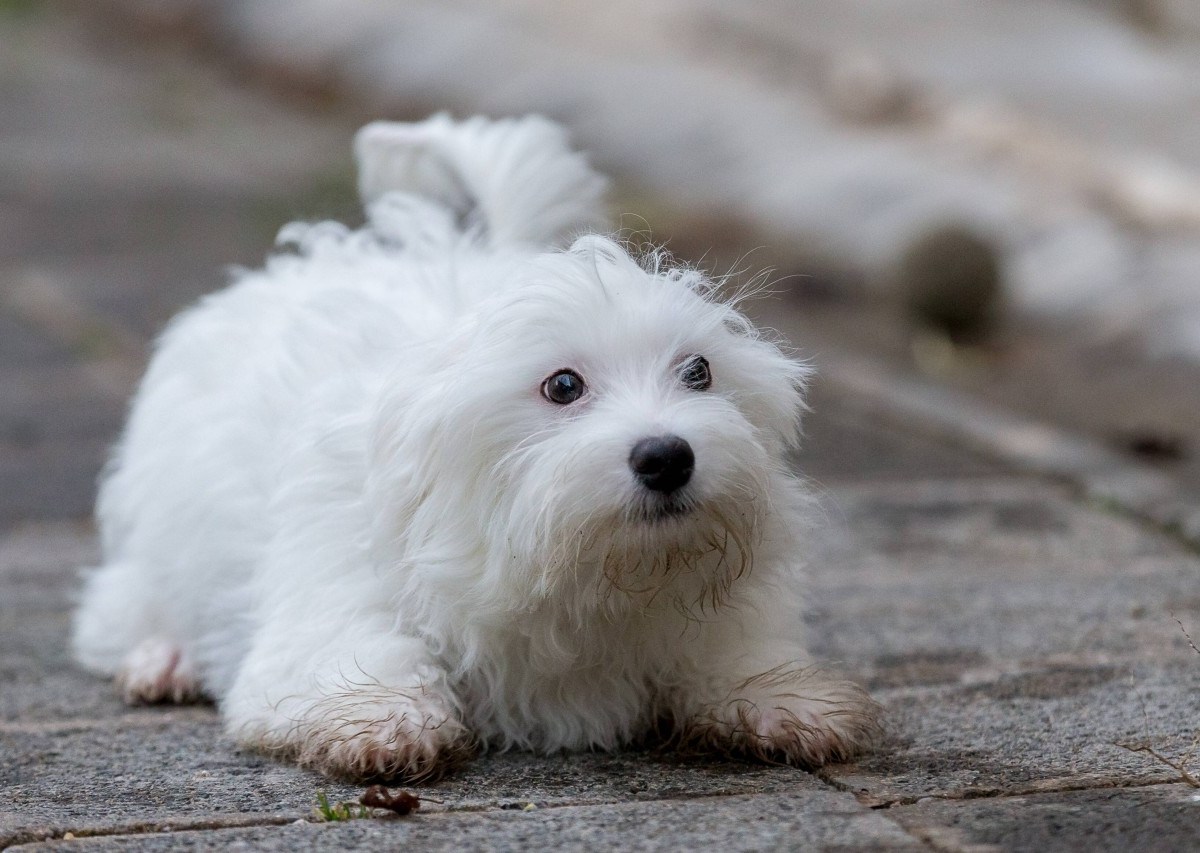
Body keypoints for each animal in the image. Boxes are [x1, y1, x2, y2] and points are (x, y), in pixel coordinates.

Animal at [75, 115, 883, 782]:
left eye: (700, 372)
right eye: (563, 385)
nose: (668, 456)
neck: (572, 570)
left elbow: (733, 651)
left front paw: (778, 698)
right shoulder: (336, 573)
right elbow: (356, 647)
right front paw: (382, 716)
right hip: (162, 528)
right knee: (126, 602)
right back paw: (165, 656)